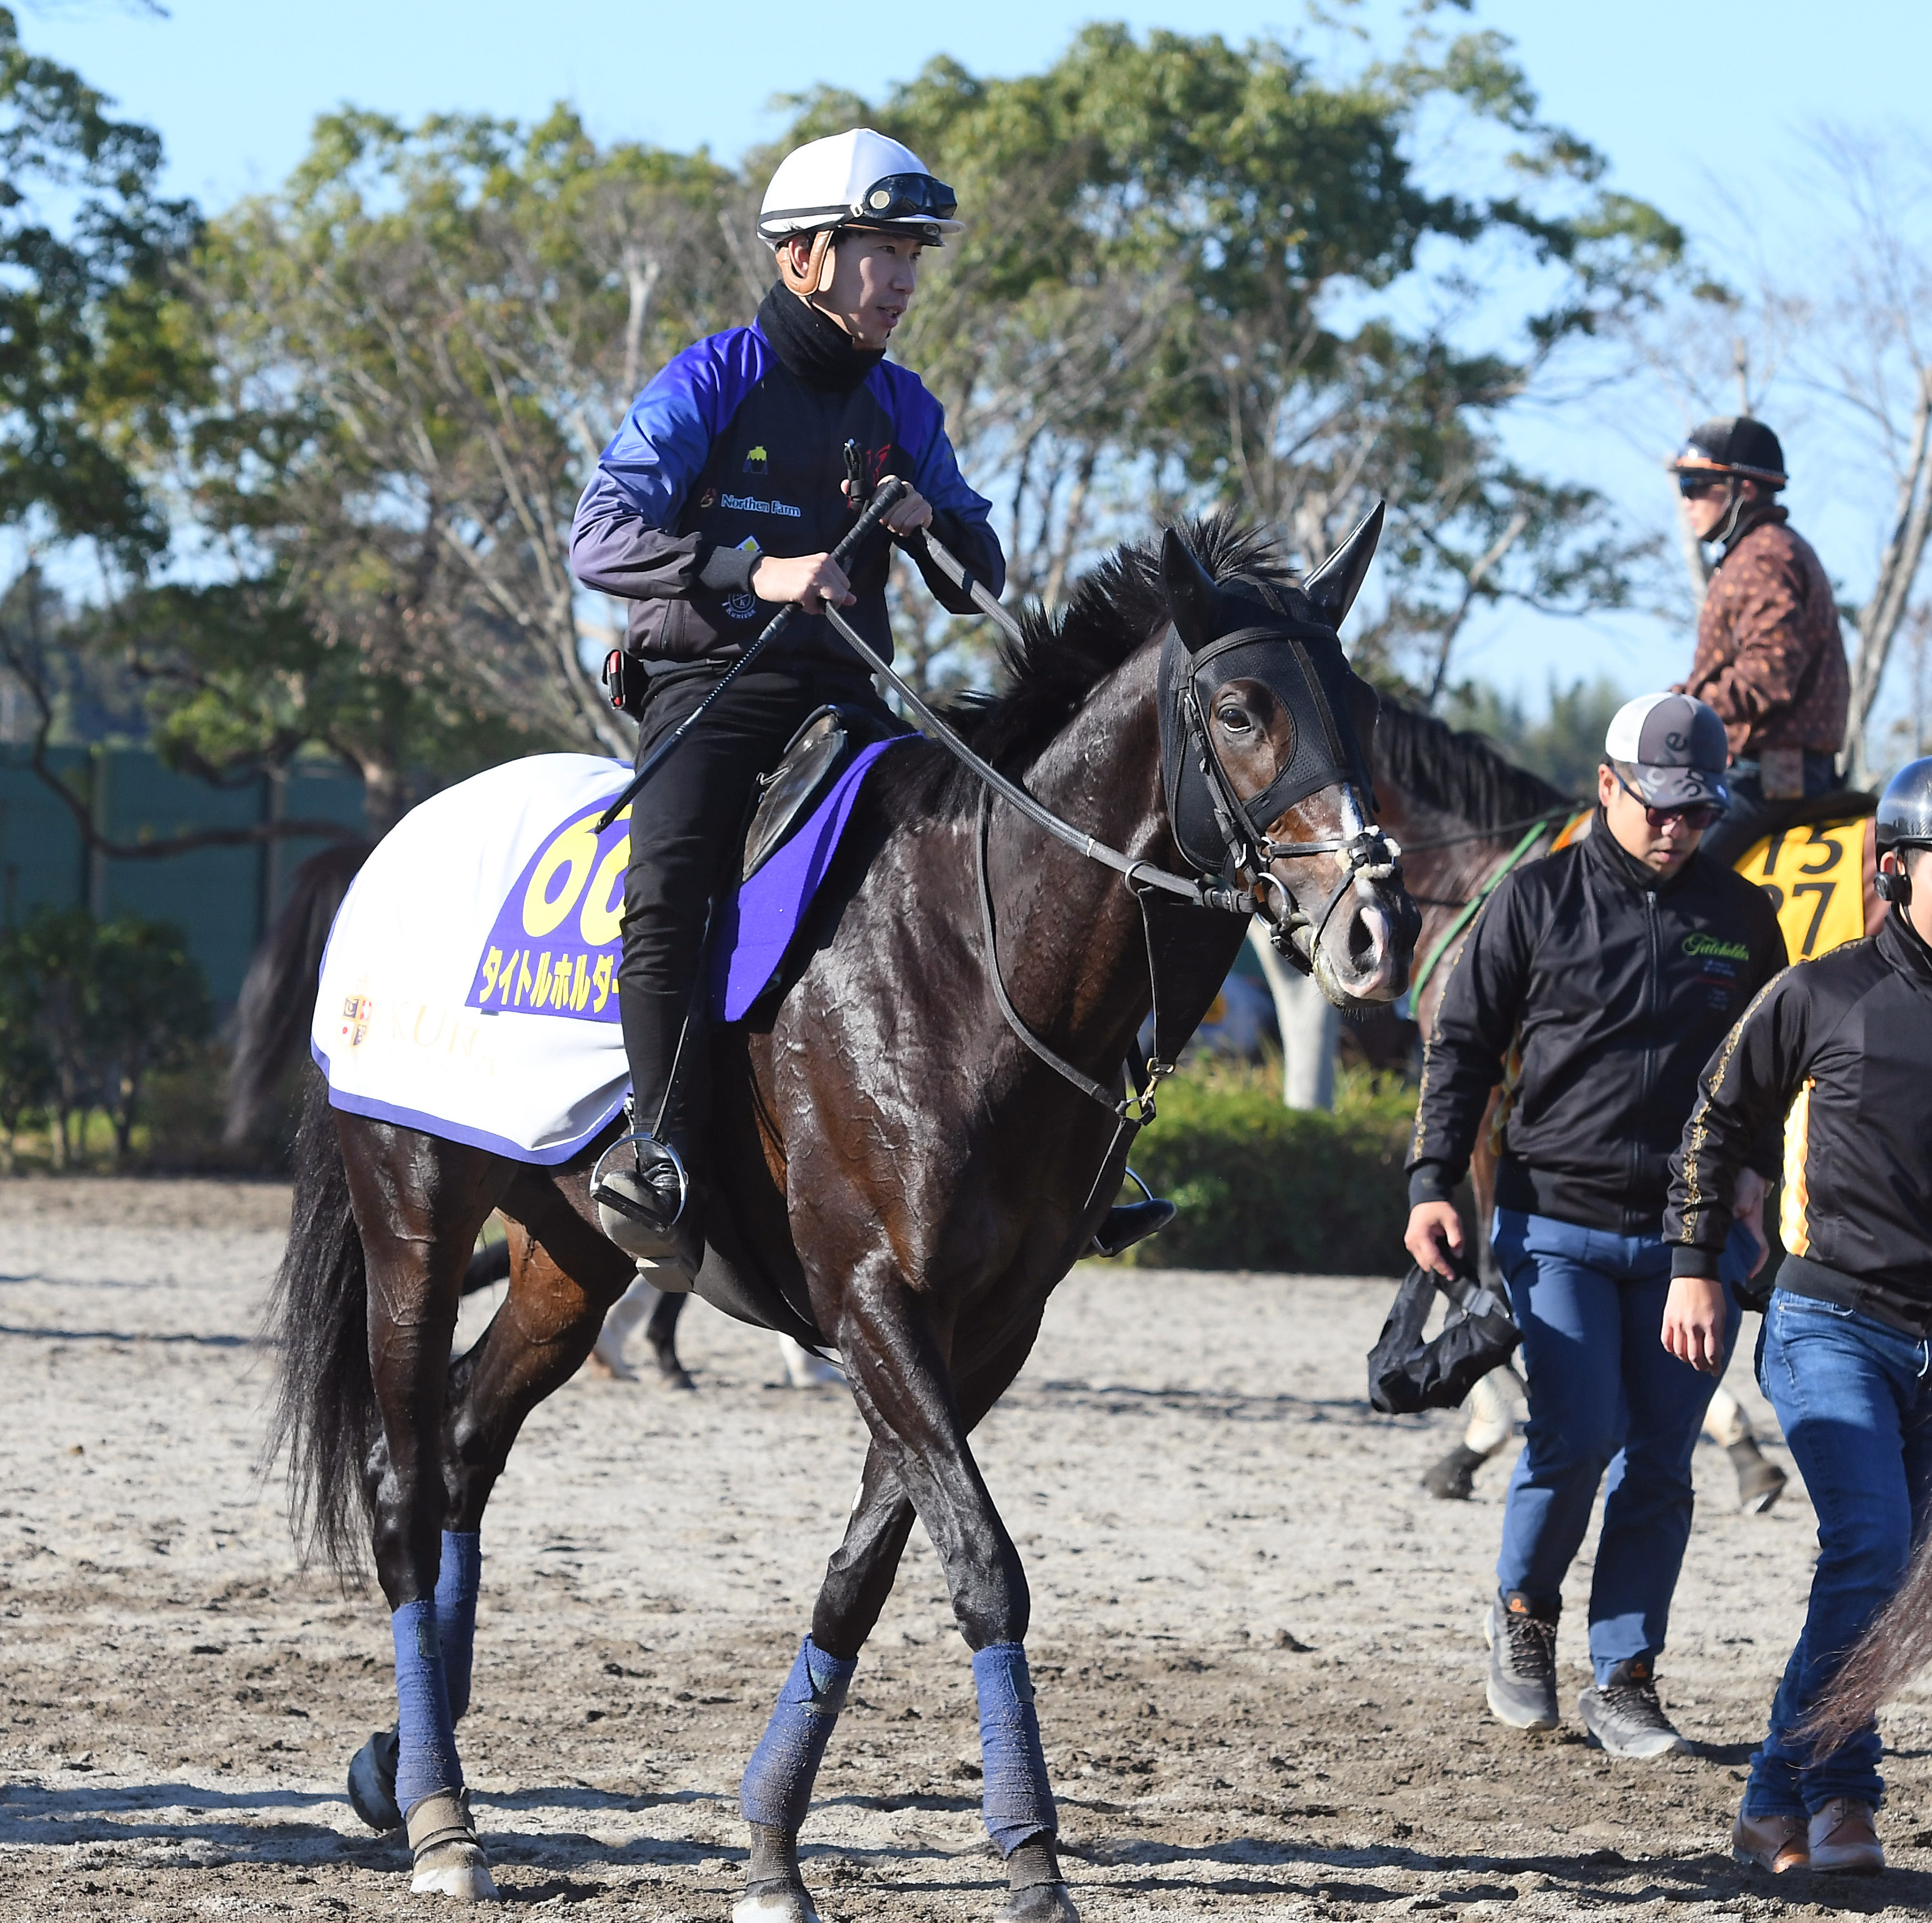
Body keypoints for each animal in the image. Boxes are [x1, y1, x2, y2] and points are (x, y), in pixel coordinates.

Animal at [265, 518, 1422, 1917]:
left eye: (1356, 709)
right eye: (1242, 709)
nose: (1375, 928)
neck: (967, 954)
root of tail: (394, 843)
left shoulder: (984, 1331)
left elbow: (862, 1573)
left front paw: (771, 1841)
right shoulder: (872, 1298)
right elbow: (981, 1563)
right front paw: (1030, 1855)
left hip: (567, 1262)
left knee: (466, 1455)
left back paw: (402, 1761)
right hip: (416, 1219)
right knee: (401, 1483)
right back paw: (442, 1819)